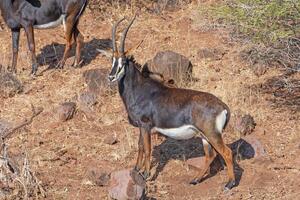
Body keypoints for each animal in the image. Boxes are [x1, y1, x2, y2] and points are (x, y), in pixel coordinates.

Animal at [108, 16, 237, 191]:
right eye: (112, 60)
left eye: (123, 61)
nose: (111, 77)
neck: (139, 89)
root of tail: (223, 106)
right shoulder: (141, 127)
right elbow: (140, 147)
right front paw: (136, 169)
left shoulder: (145, 125)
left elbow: (147, 149)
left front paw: (146, 175)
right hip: (204, 136)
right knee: (210, 155)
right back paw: (195, 180)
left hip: (212, 134)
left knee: (227, 152)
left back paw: (229, 184)